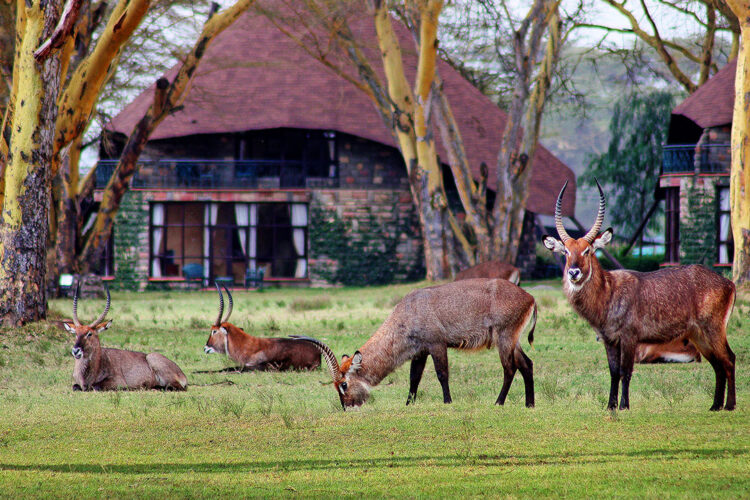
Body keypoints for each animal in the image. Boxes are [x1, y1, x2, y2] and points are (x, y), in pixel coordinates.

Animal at [290, 280, 536, 408]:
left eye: (343, 384)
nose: (347, 407)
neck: (408, 311)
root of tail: (529, 296)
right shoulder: (420, 352)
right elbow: (414, 378)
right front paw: (409, 404)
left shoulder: (437, 345)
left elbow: (442, 374)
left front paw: (447, 402)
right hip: (513, 340)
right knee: (526, 364)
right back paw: (529, 404)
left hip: (504, 338)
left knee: (510, 368)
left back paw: (499, 402)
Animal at [544, 182, 736, 412]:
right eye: (565, 251)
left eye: (587, 250)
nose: (574, 273)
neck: (608, 292)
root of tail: (728, 283)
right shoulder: (609, 340)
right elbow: (613, 372)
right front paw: (610, 406)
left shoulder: (629, 337)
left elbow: (626, 372)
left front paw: (624, 406)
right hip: (699, 335)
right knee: (718, 364)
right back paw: (715, 406)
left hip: (713, 329)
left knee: (729, 359)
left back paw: (729, 405)